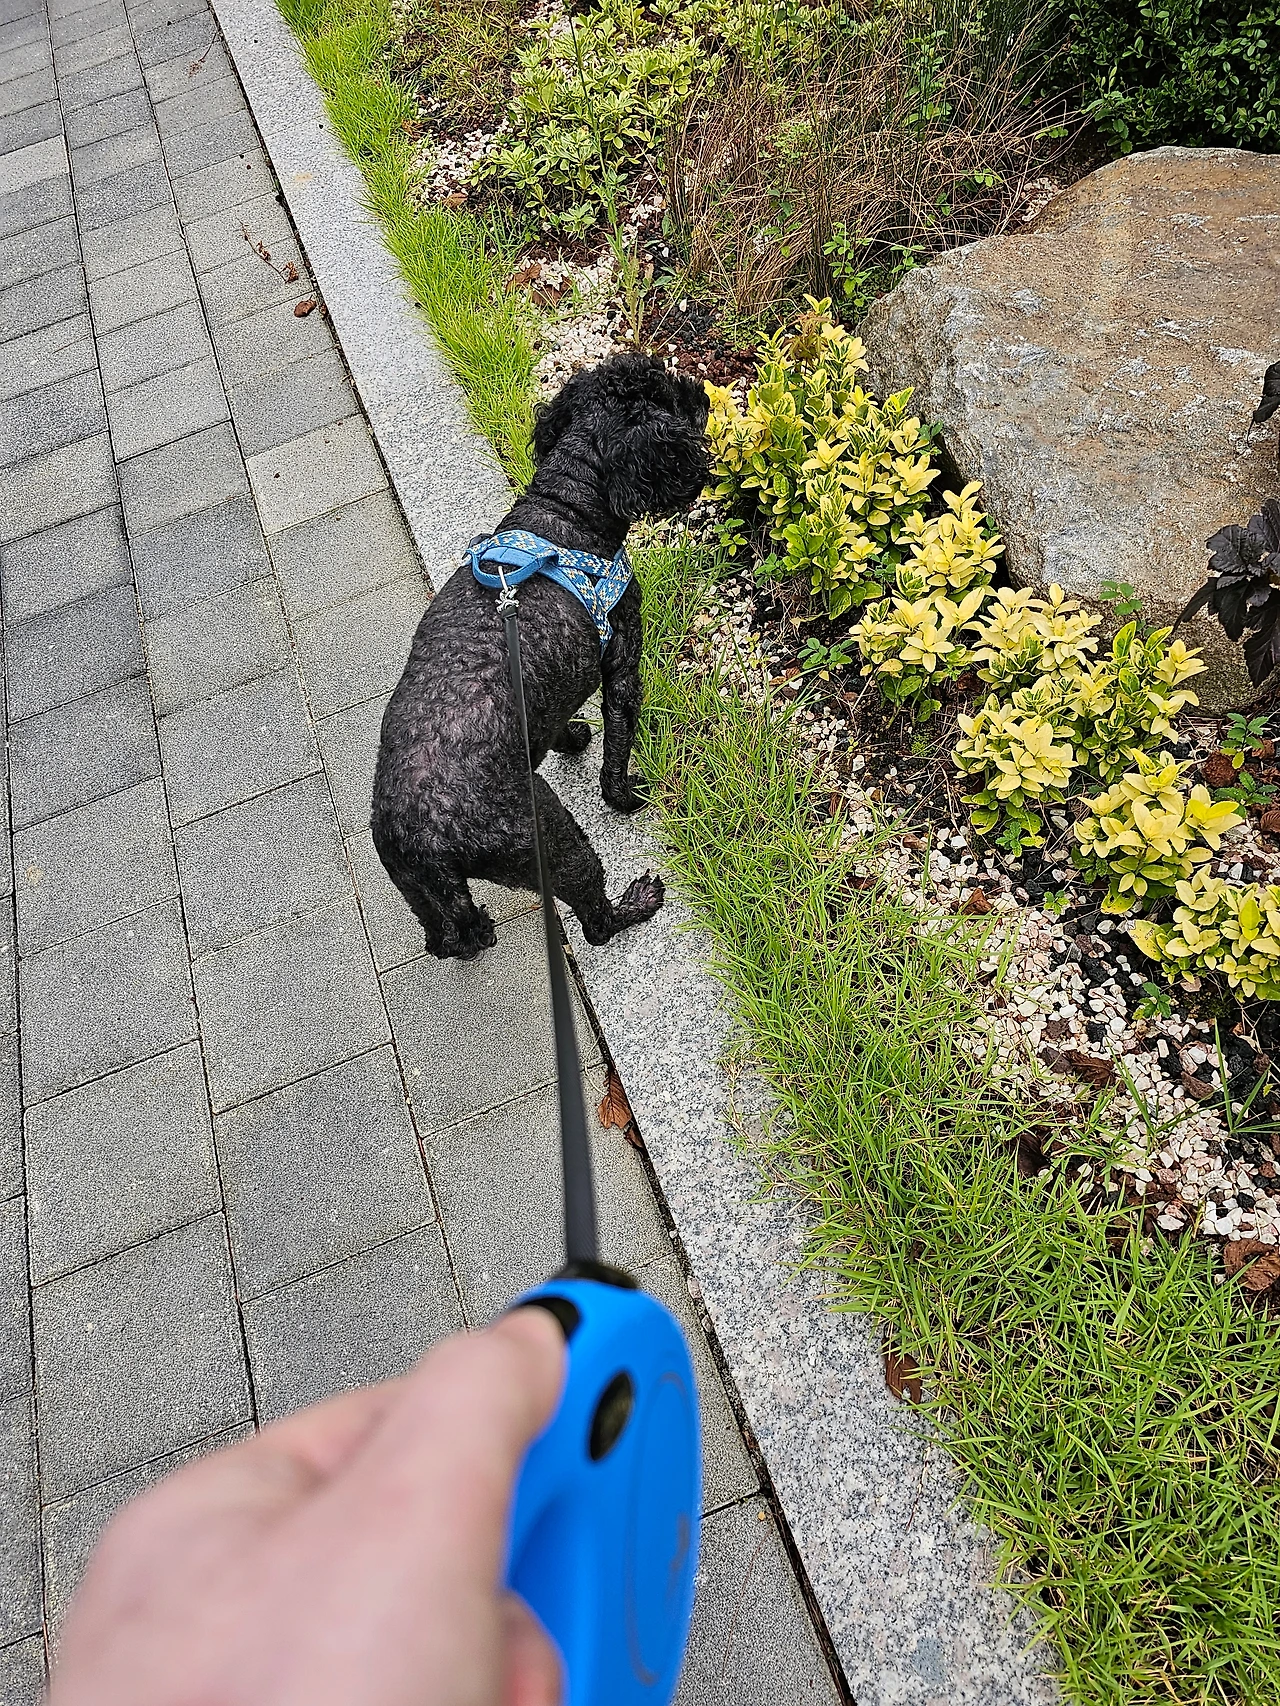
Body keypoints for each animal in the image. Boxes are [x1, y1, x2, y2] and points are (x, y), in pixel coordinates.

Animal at [371, 354, 711, 961]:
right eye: (669, 393)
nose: (705, 393)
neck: (565, 510)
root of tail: (424, 836)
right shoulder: (622, 663)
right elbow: (617, 751)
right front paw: (626, 795)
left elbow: (558, 726)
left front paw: (570, 737)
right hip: (552, 841)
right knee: (593, 919)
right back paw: (634, 905)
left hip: (423, 893)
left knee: (449, 935)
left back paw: (475, 933)